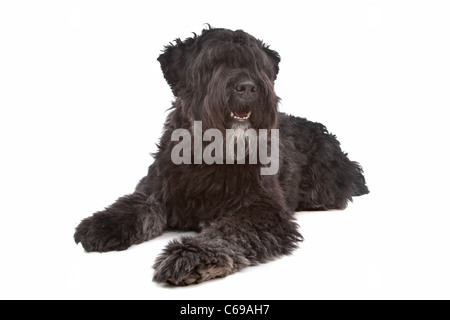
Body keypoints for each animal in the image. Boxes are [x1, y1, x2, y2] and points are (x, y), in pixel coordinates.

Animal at [74, 26, 370, 284]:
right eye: (214, 62)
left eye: (257, 64)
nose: (247, 87)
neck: (210, 156)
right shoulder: (157, 189)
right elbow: (137, 205)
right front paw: (104, 223)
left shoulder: (263, 208)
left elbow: (230, 231)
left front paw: (192, 256)